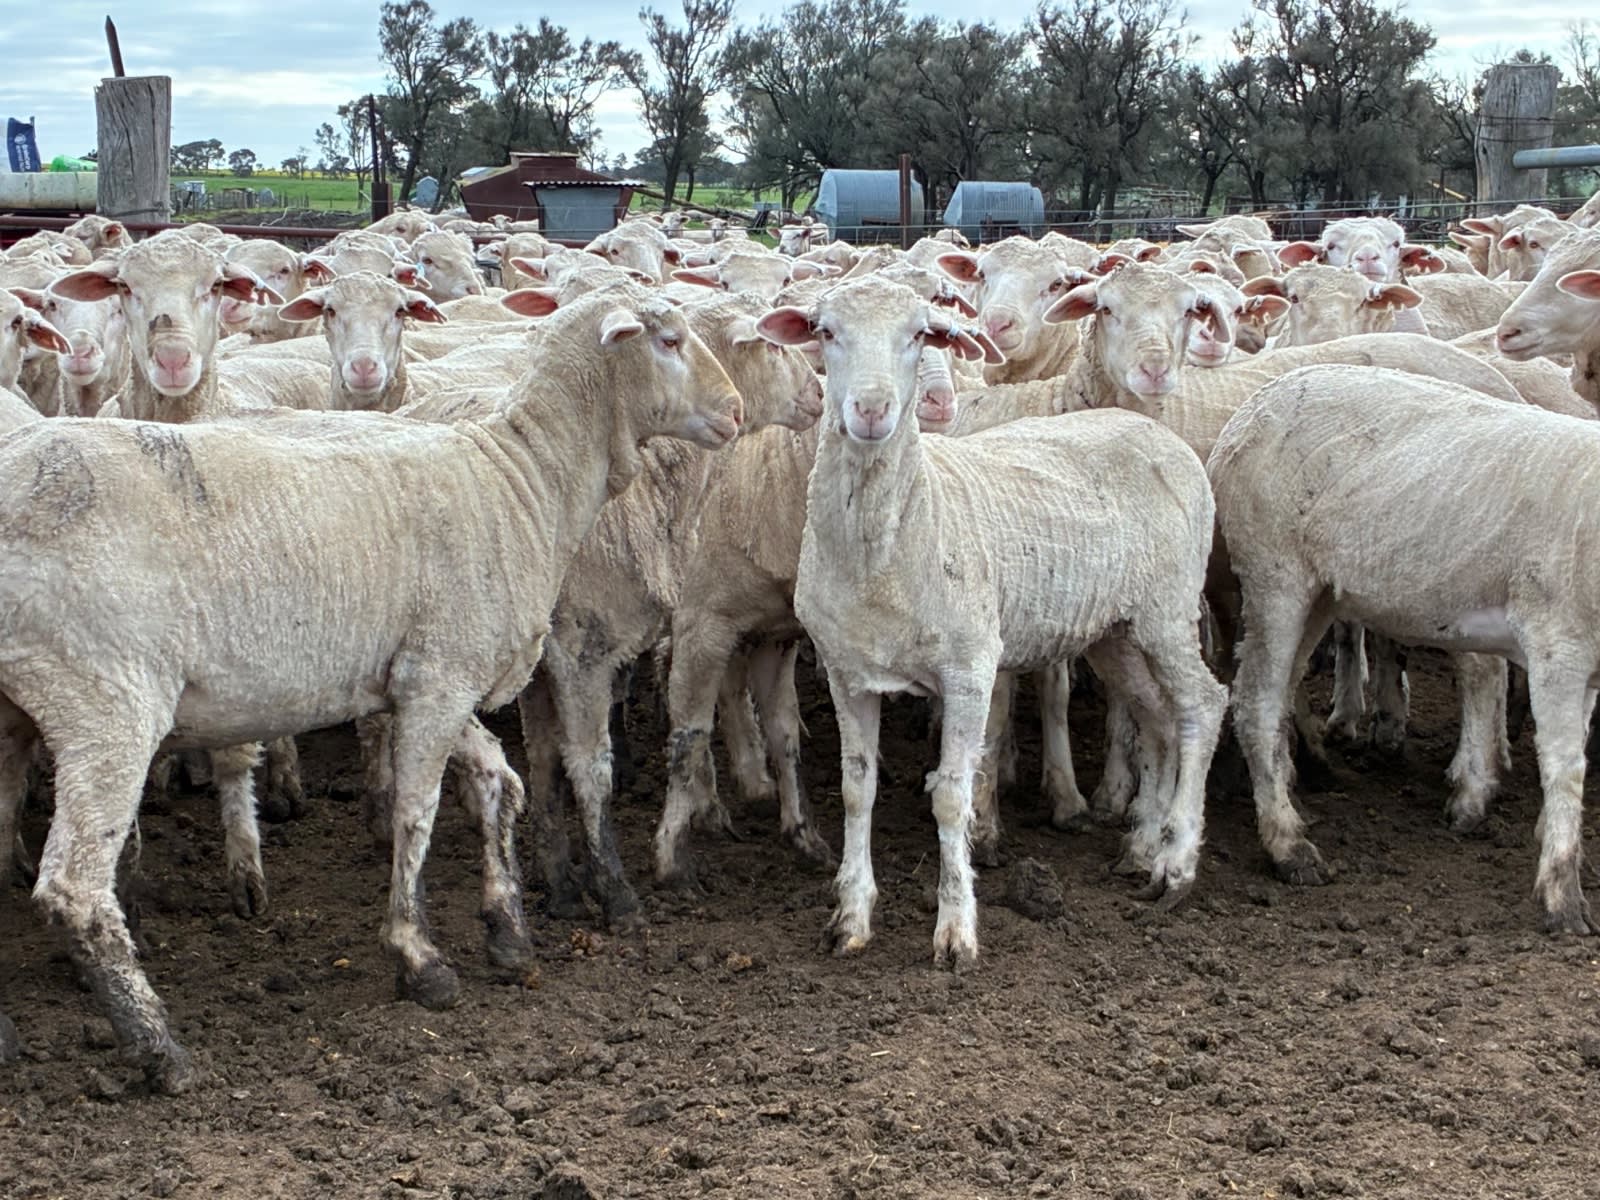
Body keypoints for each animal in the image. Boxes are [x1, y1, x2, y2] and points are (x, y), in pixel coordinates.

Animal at [0, 279, 744, 1091]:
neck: (523, 477)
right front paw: (420, 959)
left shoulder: (430, 677)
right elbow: (419, 814)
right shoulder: (444, 675)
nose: (738, 411)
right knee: (73, 887)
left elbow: (501, 783)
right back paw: (158, 1047)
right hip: (105, 704)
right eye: (668, 340)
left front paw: (508, 932)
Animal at [759, 276, 1226, 965]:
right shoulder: (848, 673)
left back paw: (1177, 864)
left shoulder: (970, 669)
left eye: (921, 334)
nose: (871, 409)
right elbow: (855, 790)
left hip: (1168, 608)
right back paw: (1142, 848)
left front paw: (956, 930)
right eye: (825, 331)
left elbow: (952, 794)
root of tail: (1156, 433)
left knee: (1202, 706)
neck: (887, 551)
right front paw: (851, 917)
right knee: (1160, 717)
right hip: (1115, 629)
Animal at [1210, 363, 1600, 932]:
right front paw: (1562, 897)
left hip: (1322, 589)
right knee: (1255, 701)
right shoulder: (1558, 643)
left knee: (1277, 693)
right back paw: (1288, 846)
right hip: (1273, 569)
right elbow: (1565, 766)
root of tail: (1249, 409)